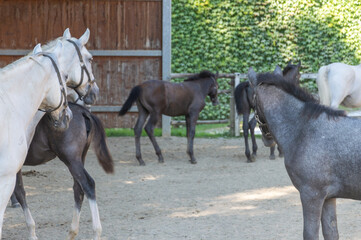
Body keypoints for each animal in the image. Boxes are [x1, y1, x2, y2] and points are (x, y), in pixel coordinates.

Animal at [13, 28, 100, 240]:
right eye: (90, 58)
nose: (94, 92)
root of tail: (82, 112)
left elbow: (19, 192)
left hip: (71, 159)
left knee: (87, 185)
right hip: (77, 159)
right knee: (79, 188)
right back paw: (73, 231)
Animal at [249, 67, 360, 240]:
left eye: (253, 103)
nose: (267, 141)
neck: (304, 129)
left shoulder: (311, 195)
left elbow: (310, 234)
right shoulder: (328, 197)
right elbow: (331, 232)